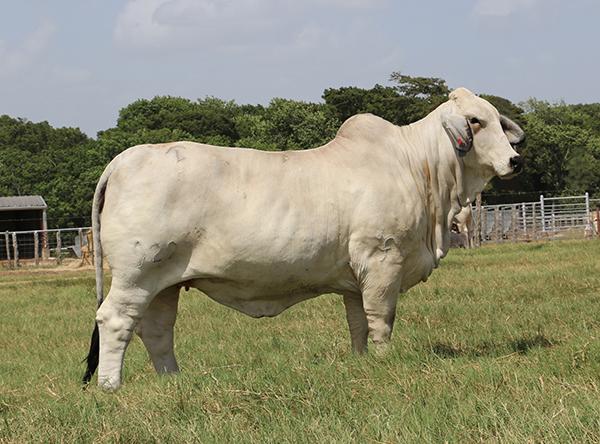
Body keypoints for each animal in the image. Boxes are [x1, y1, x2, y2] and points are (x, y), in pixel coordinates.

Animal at [83, 86, 524, 388]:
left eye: (497, 120)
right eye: (475, 121)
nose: (515, 160)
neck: (419, 167)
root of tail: (123, 159)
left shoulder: (355, 277)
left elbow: (357, 324)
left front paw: (362, 361)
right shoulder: (383, 259)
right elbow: (381, 320)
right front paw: (384, 362)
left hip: (165, 283)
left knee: (157, 330)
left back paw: (173, 381)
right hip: (137, 274)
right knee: (114, 320)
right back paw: (110, 387)